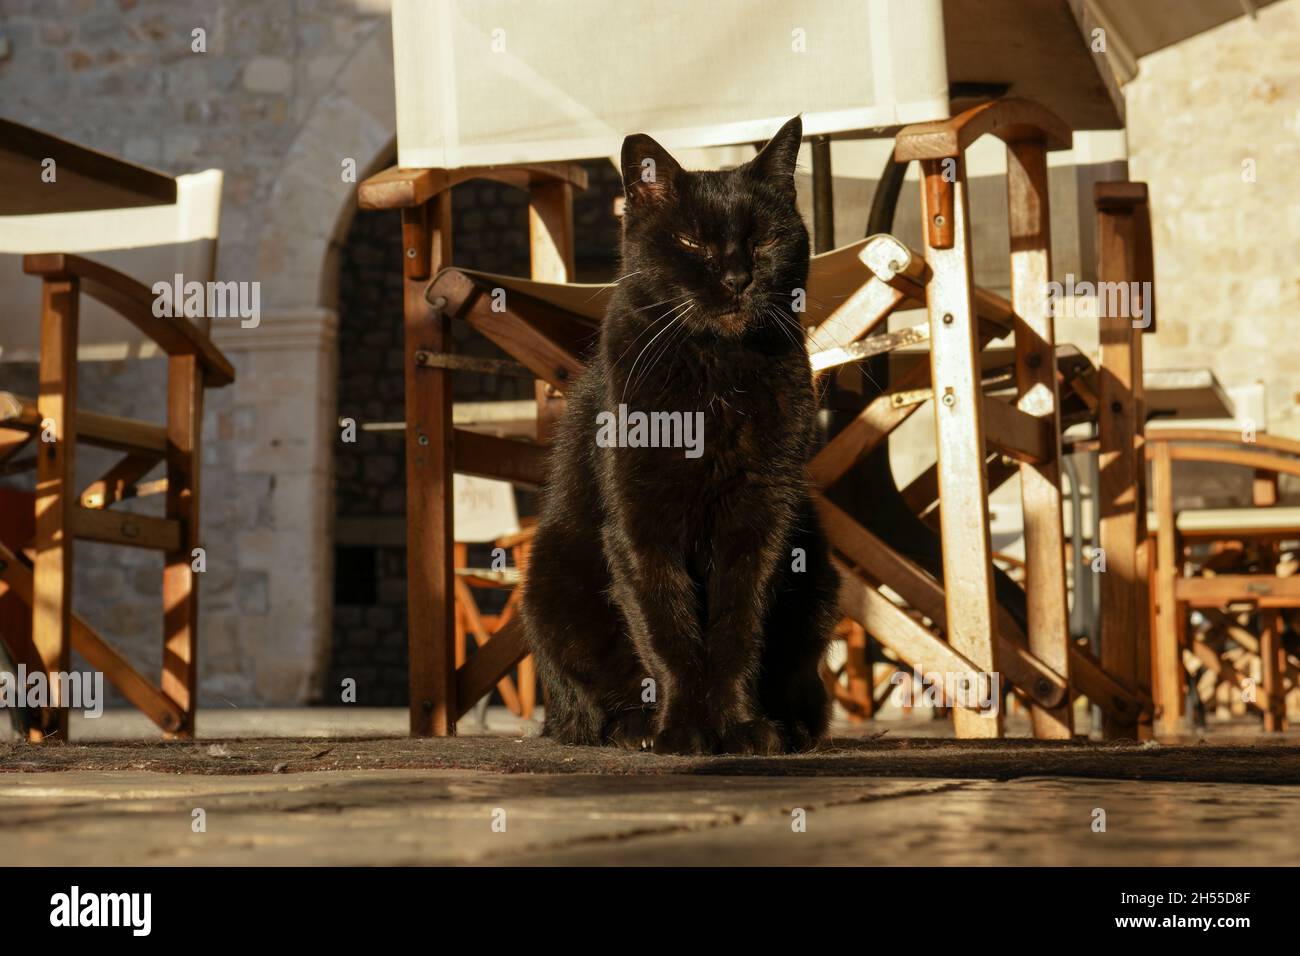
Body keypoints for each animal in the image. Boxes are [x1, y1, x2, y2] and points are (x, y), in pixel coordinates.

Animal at [520, 115, 842, 754]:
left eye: (764, 241)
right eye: (692, 243)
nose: (739, 278)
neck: (717, 374)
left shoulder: (762, 519)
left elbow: (740, 628)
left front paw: (740, 727)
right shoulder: (640, 522)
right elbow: (665, 626)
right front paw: (686, 730)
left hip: (817, 566)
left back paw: (789, 727)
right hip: (547, 580)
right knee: (582, 710)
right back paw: (633, 729)